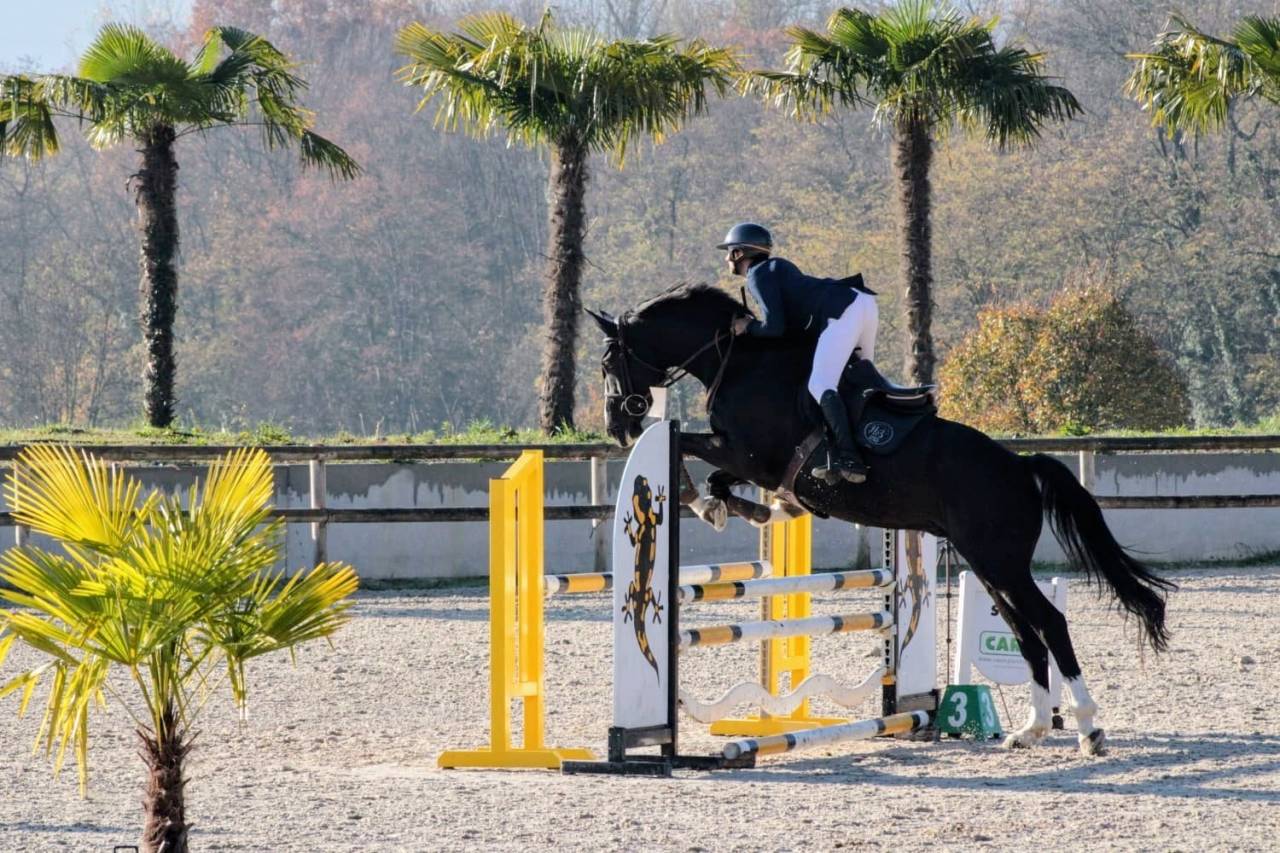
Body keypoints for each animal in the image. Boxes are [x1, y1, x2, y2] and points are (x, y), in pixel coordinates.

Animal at [587, 282, 1174, 757]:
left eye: (608, 362)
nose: (620, 426)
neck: (738, 361)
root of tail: (1019, 466)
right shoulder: (750, 460)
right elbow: (719, 480)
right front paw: (756, 508)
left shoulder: (749, 453)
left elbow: (695, 455)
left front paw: (706, 500)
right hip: (989, 566)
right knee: (1028, 636)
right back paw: (1028, 731)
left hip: (1000, 562)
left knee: (1050, 625)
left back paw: (1088, 730)